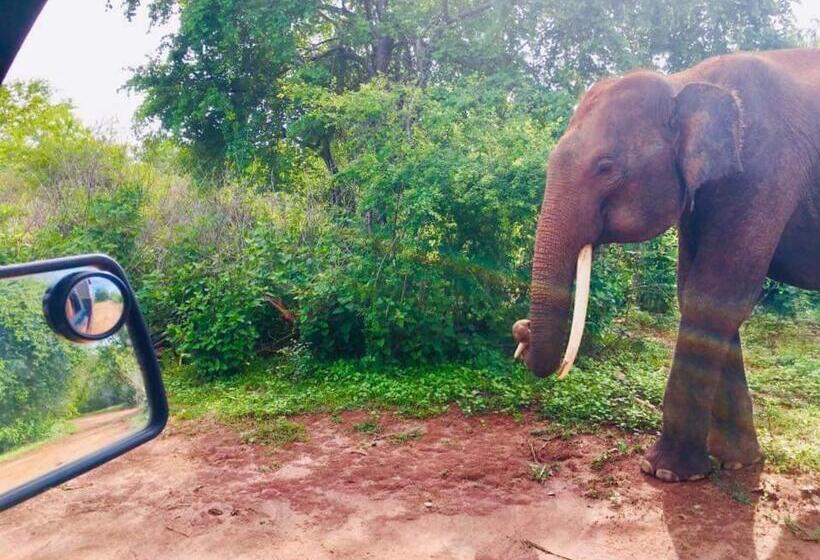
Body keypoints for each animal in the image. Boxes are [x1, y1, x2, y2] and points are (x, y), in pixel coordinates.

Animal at [512, 48, 820, 482]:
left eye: (606, 167)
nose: (521, 331)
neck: (685, 82)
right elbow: (694, 291)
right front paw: (737, 462)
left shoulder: (768, 173)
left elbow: (716, 296)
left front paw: (665, 472)